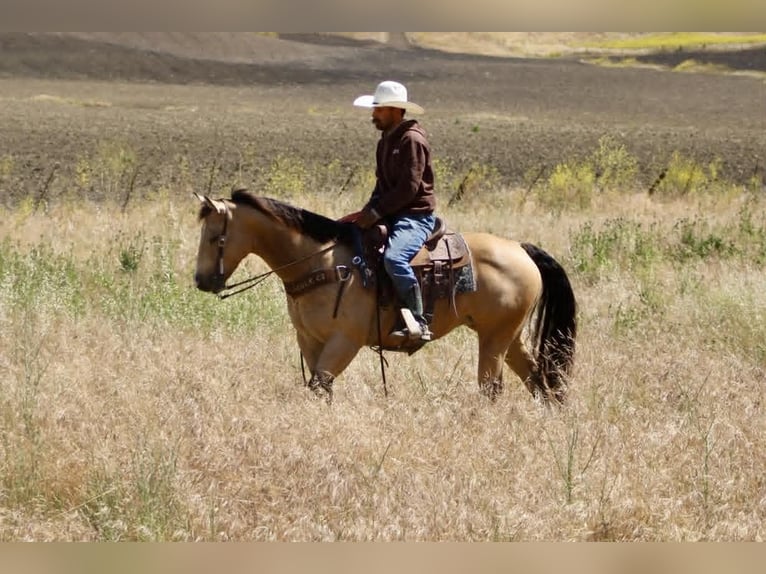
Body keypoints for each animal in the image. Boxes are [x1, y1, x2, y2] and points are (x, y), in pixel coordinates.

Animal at [194, 189, 577, 404]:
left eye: (215, 237)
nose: (201, 281)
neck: (321, 261)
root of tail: (521, 249)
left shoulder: (344, 341)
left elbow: (320, 384)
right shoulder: (309, 340)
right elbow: (319, 388)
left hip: (495, 338)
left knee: (491, 388)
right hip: (509, 337)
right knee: (537, 379)